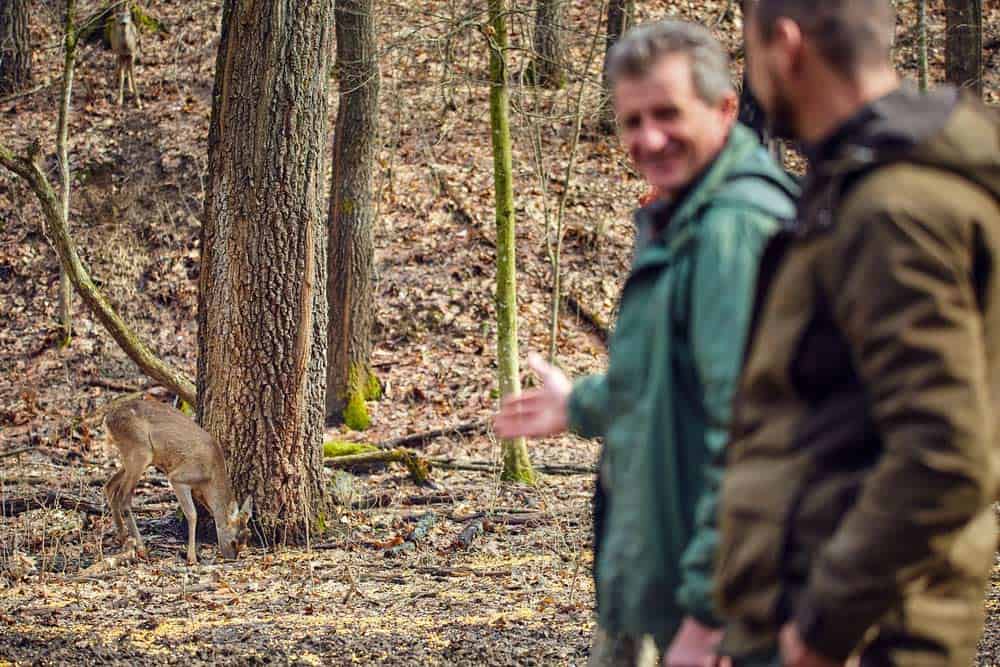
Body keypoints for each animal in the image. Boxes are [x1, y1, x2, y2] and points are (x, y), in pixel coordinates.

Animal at [103, 400, 252, 568]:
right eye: (234, 541)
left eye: (247, 539)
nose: (231, 558)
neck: (209, 478)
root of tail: (108, 419)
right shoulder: (178, 477)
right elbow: (192, 514)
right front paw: (191, 557)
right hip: (139, 450)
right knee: (124, 497)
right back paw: (141, 548)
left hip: (136, 457)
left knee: (110, 486)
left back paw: (122, 537)